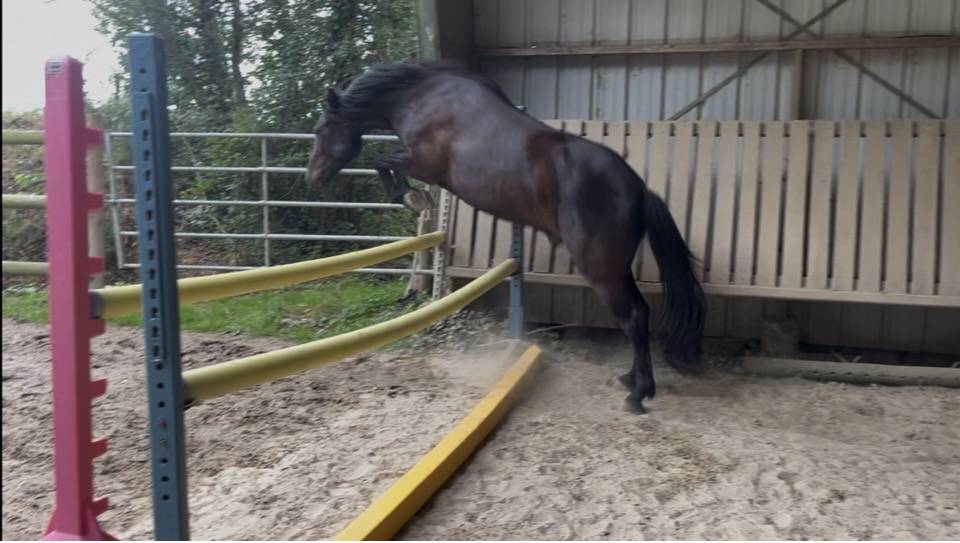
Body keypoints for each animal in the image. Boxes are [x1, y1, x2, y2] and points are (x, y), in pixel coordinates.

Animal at [306, 62, 706, 413]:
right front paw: (411, 197)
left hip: (602, 271)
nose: (313, 178)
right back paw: (630, 380)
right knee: (641, 314)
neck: (425, 98)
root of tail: (637, 188)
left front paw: (409, 196)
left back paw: (638, 396)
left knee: (634, 318)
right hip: (617, 269)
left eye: (321, 129)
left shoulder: (423, 163)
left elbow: (381, 160)